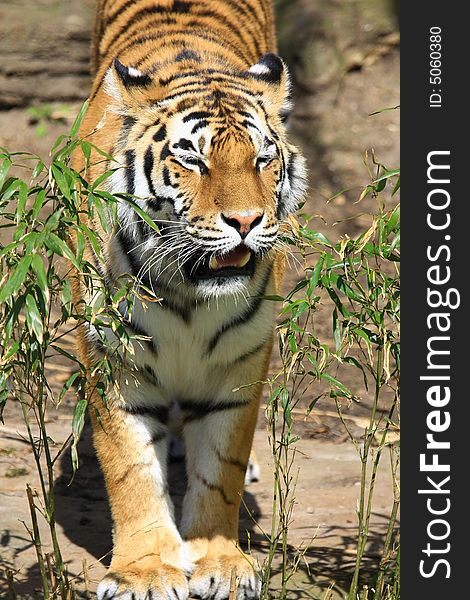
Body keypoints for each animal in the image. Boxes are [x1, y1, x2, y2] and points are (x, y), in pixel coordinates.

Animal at [71, 1, 306, 600]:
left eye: (263, 159)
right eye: (193, 161)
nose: (246, 221)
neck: (189, 292)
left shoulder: (240, 363)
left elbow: (220, 467)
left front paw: (220, 561)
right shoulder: (115, 362)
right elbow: (130, 470)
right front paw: (147, 571)